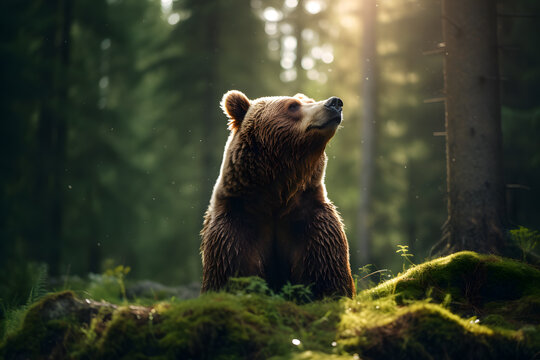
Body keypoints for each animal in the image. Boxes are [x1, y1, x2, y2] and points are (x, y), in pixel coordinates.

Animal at [199, 90, 354, 298]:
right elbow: (232, 272)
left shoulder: (310, 221)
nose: (335, 103)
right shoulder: (236, 225)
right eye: (293, 106)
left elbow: (326, 271)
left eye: (310, 101)